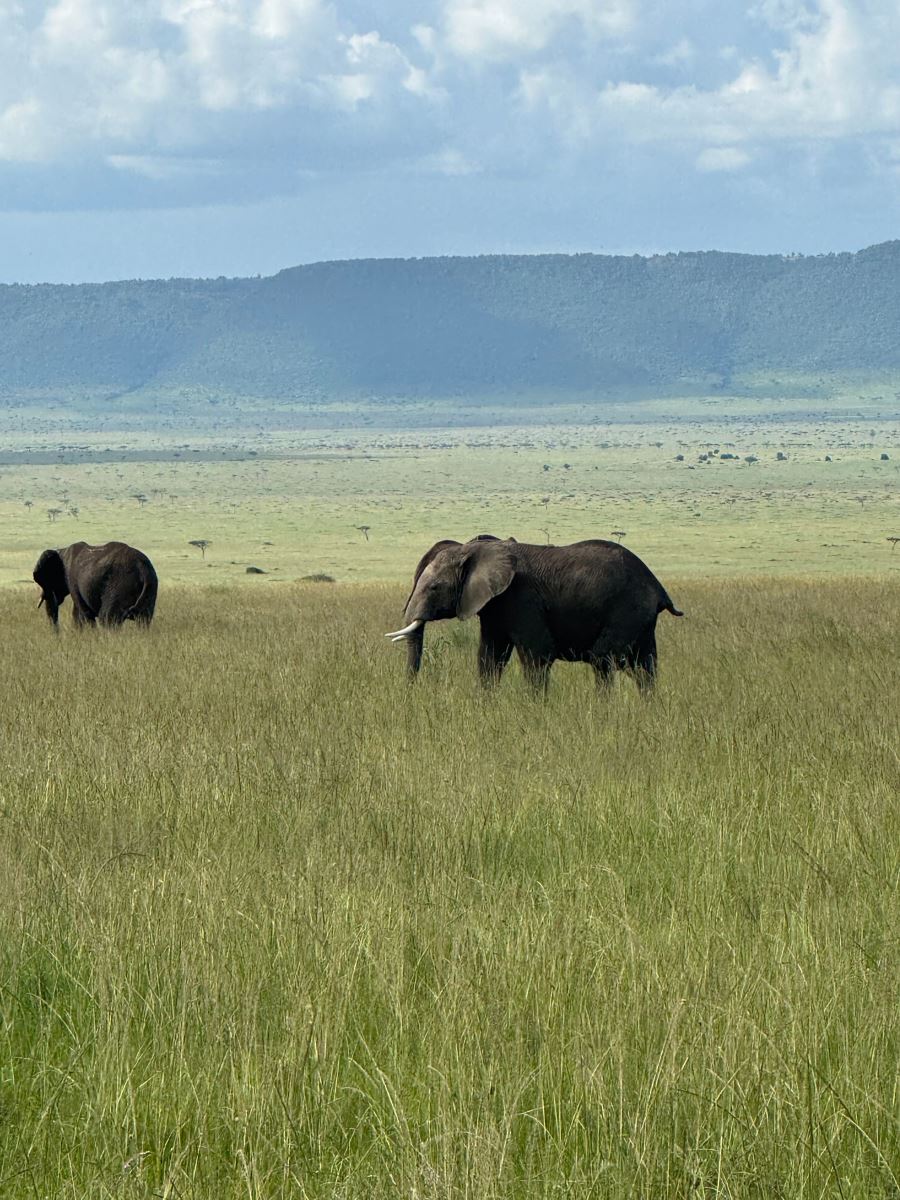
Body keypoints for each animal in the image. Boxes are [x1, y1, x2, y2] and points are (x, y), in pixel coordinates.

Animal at [386, 537, 681, 696]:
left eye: (434, 588)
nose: (410, 693)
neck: (473, 548)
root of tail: (659, 588)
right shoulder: (494, 605)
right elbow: (490, 656)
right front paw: (486, 706)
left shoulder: (522, 598)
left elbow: (536, 655)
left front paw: (536, 711)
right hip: (640, 619)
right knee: (645, 666)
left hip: (627, 609)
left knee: (604, 660)